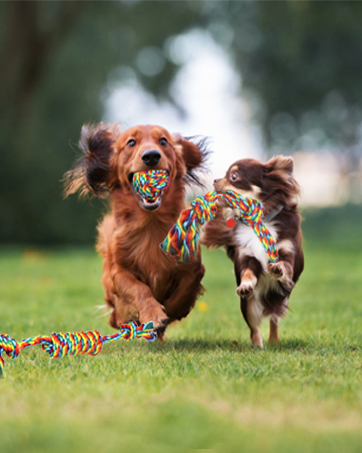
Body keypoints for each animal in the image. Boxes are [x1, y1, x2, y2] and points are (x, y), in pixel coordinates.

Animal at [63, 122, 208, 336]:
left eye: (164, 141)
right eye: (131, 143)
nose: (151, 156)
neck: (150, 223)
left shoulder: (193, 267)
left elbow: (184, 291)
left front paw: (169, 312)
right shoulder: (118, 273)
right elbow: (139, 289)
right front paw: (153, 314)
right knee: (116, 316)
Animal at [202, 155, 304, 346]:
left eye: (234, 176)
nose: (215, 180)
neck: (259, 220)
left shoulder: (287, 254)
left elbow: (285, 267)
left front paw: (278, 268)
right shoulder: (247, 257)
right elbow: (248, 273)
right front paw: (245, 285)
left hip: (281, 297)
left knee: (274, 318)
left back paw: (274, 340)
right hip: (248, 305)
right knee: (254, 328)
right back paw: (257, 346)